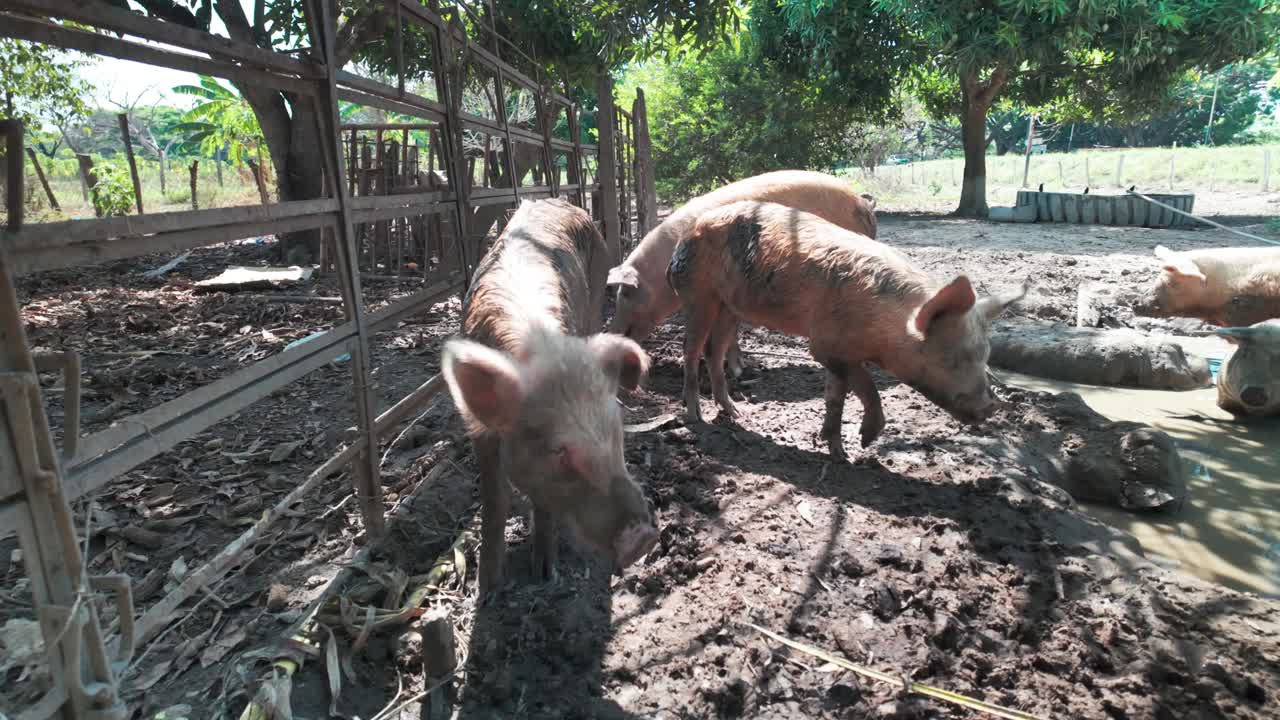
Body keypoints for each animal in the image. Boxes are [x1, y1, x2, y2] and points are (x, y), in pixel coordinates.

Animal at [441, 198, 658, 596]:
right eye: (558, 451)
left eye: (616, 431)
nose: (644, 538)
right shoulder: (479, 430)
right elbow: (494, 499)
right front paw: (488, 588)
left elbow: (543, 503)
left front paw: (545, 573)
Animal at [666, 200, 1026, 461]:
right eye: (951, 359)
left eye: (986, 356)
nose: (991, 407)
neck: (885, 327)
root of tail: (684, 235)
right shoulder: (825, 346)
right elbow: (867, 388)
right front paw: (865, 443)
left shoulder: (838, 353)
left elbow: (835, 397)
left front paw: (839, 453)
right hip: (698, 295)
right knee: (691, 350)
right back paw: (696, 416)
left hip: (730, 306)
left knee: (714, 351)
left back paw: (735, 412)